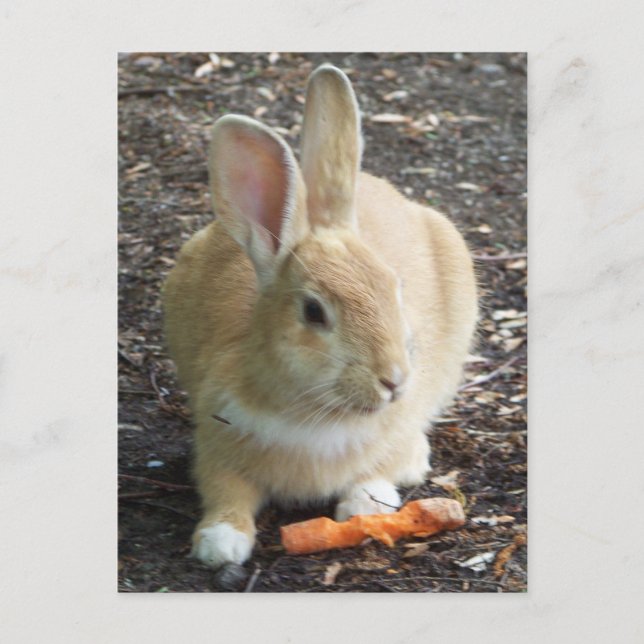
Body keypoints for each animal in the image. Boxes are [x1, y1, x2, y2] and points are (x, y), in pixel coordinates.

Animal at [162, 64, 478, 568]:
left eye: (395, 287)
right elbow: (225, 492)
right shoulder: (215, 447)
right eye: (313, 311)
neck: (317, 414)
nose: (394, 381)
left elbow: (378, 469)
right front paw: (219, 544)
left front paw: (366, 505)